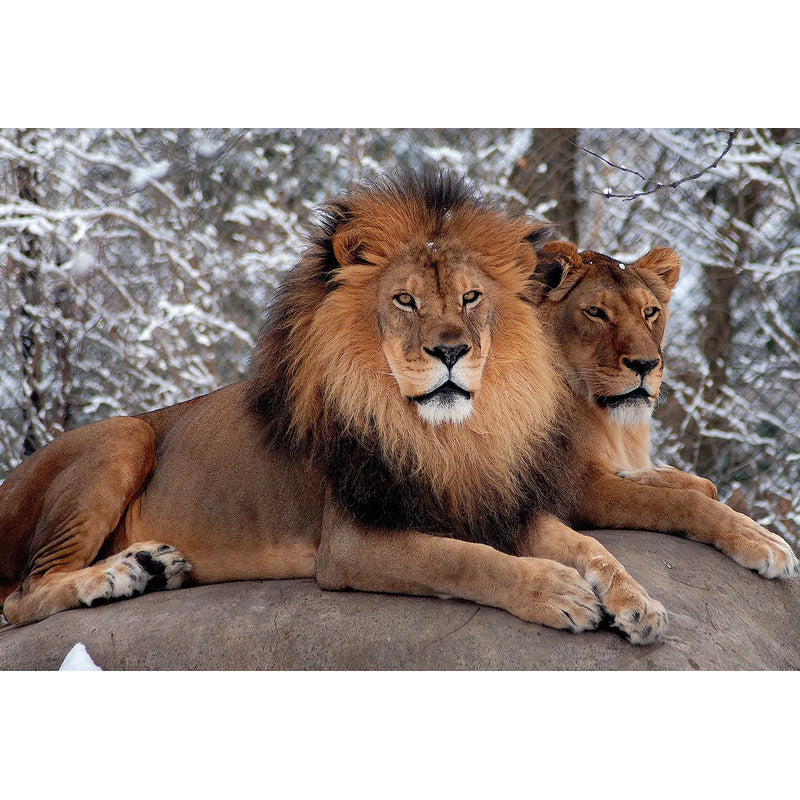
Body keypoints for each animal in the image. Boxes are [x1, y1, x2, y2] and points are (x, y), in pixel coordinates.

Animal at [0, 172, 667, 645]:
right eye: (405, 301)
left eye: (471, 297)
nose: (451, 351)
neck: (447, 436)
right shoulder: (352, 542)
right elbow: (465, 561)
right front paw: (558, 591)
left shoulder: (498, 503)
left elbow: (592, 548)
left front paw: (638, 602)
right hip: (122, 435)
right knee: (23, 593)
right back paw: (121, 574)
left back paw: (152, 565)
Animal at [531, 240, 799, 580]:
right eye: (596, 312)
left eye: (649, 312)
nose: (645, 364)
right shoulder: (570, 489)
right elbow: (681, 502)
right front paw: (760, 541)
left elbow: (705, 486)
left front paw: (647, 475)